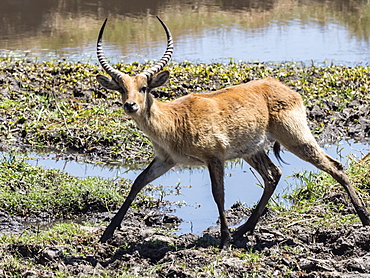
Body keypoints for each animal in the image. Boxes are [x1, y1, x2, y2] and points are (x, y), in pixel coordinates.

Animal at [97, 16, 368, 248]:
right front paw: (107, 233)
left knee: (334, 166)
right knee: (273, 175)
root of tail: (283, 87)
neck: (174, 120)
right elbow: (138, 182)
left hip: (295, 138)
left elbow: (219, 195)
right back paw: (244, 230)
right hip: (252, 151)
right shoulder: (166, 160)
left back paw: (364, 218)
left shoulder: (214, 157)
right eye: (122, 88)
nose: (130, 105)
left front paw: (224, 241)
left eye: (144, 87)